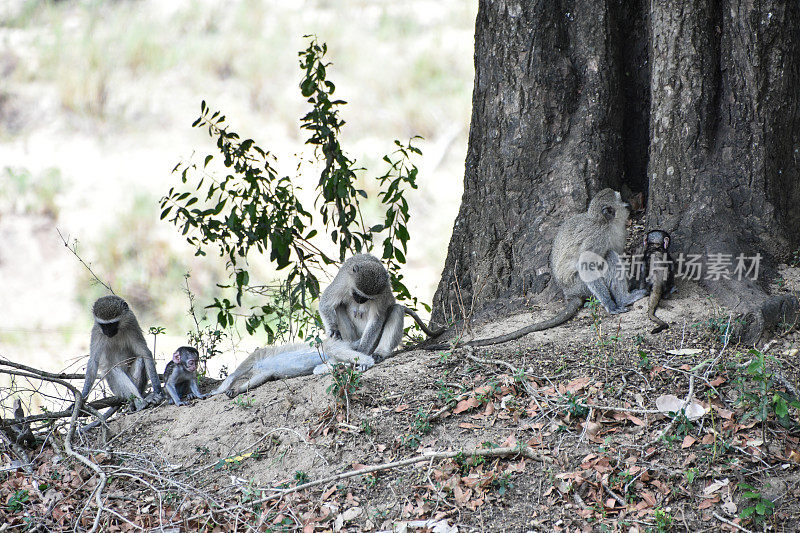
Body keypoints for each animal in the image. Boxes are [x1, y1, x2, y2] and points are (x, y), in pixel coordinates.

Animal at [208, 338, 368, 396]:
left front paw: (219, 390)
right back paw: (344, 367)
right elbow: (259, 378)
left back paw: (367, 362)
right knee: (324, 367)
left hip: (332, 346)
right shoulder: (262, 370)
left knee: (335, 351)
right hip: (331, 356)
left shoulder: (255, 356)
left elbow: (234, 375)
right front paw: (237, 389)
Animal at [428, 188, 648, 350]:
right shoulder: (596, 238)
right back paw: (622, 299)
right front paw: (610, 304)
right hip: (580, 285)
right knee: (607, 257)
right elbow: (586, 265)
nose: (629, 204)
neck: (604, 223)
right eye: (621, 199)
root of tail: (569, 293)